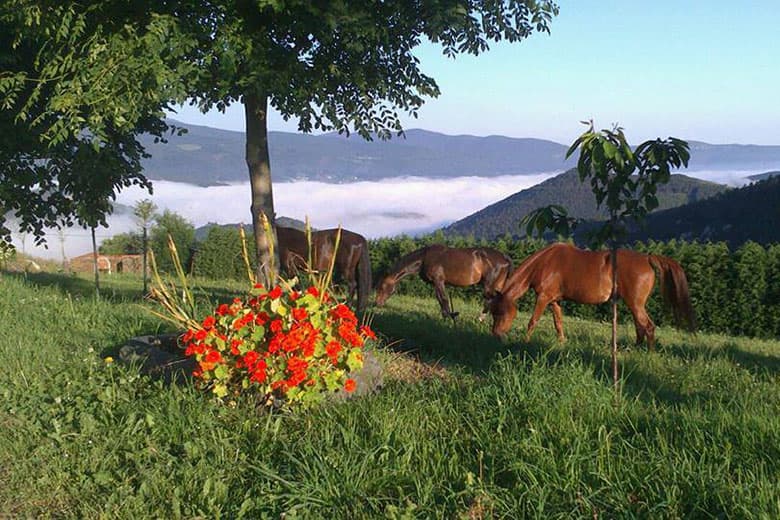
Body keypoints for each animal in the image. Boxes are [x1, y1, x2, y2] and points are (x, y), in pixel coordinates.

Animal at [376, 245, 516, 320]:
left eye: (382, 286)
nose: (377, 303)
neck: (424, 258)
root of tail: (504, 257)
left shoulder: (438, 281)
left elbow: (443, 299)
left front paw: (449, 316)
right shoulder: (436, 284)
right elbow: (440, 300)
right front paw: (447, 315)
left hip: (489, 285)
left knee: (490, 300)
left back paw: (481, 318)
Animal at [488, 244, 696, 350]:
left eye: (500, 313)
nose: (495, 335)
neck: (544, 263)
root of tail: (647, 257)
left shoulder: (543, 298)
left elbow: (533, 321)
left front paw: (525, 342)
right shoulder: (555, 301)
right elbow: (558, 323)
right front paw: (562, 342)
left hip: (635, 303)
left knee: (648, 327)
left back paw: (648, 354)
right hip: (634, 304)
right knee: (640, 327)